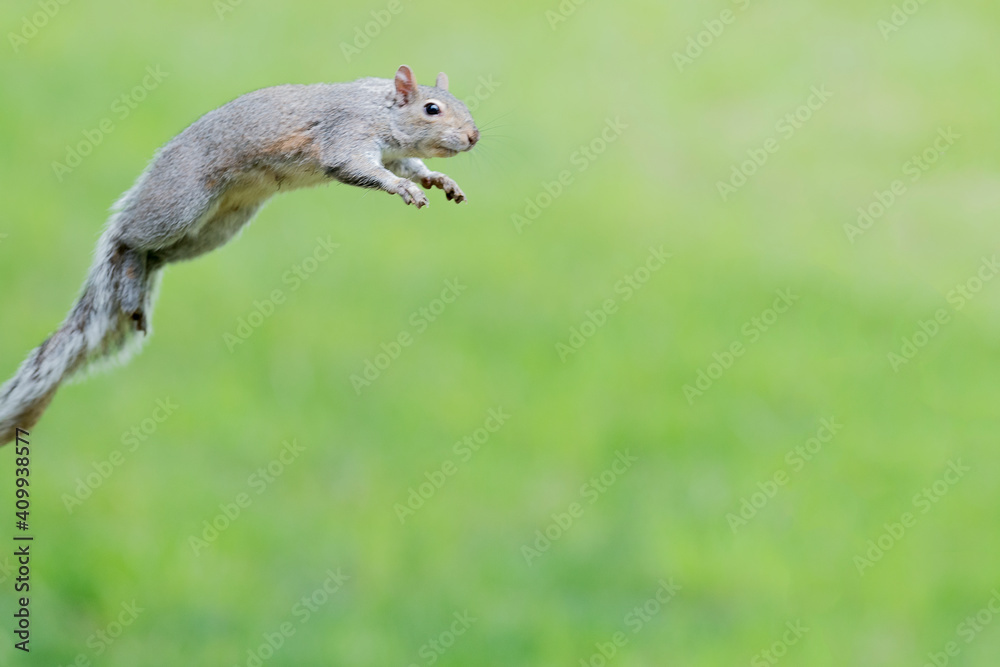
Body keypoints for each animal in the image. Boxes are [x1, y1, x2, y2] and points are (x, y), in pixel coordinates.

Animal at [0, 65, 479, 446]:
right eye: (432, 109)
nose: (474, 136)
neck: (381, 108)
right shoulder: (346, 134)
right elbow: (363, 167)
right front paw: (405, 188)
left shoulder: (394, 153)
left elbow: (411, 166)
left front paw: (439, 179)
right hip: (179, 205)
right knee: (131, 239)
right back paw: (129, 264)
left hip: (215, 229)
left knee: (159, 256)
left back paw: (135, 292)